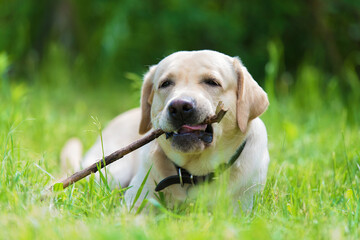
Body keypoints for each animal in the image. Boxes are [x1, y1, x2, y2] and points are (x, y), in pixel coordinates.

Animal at [61, 49, 270, 211]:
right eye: (166, 83)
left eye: (212, 82)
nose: (180, 107)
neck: (193, 174)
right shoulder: (134, 205)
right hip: (111, 172)